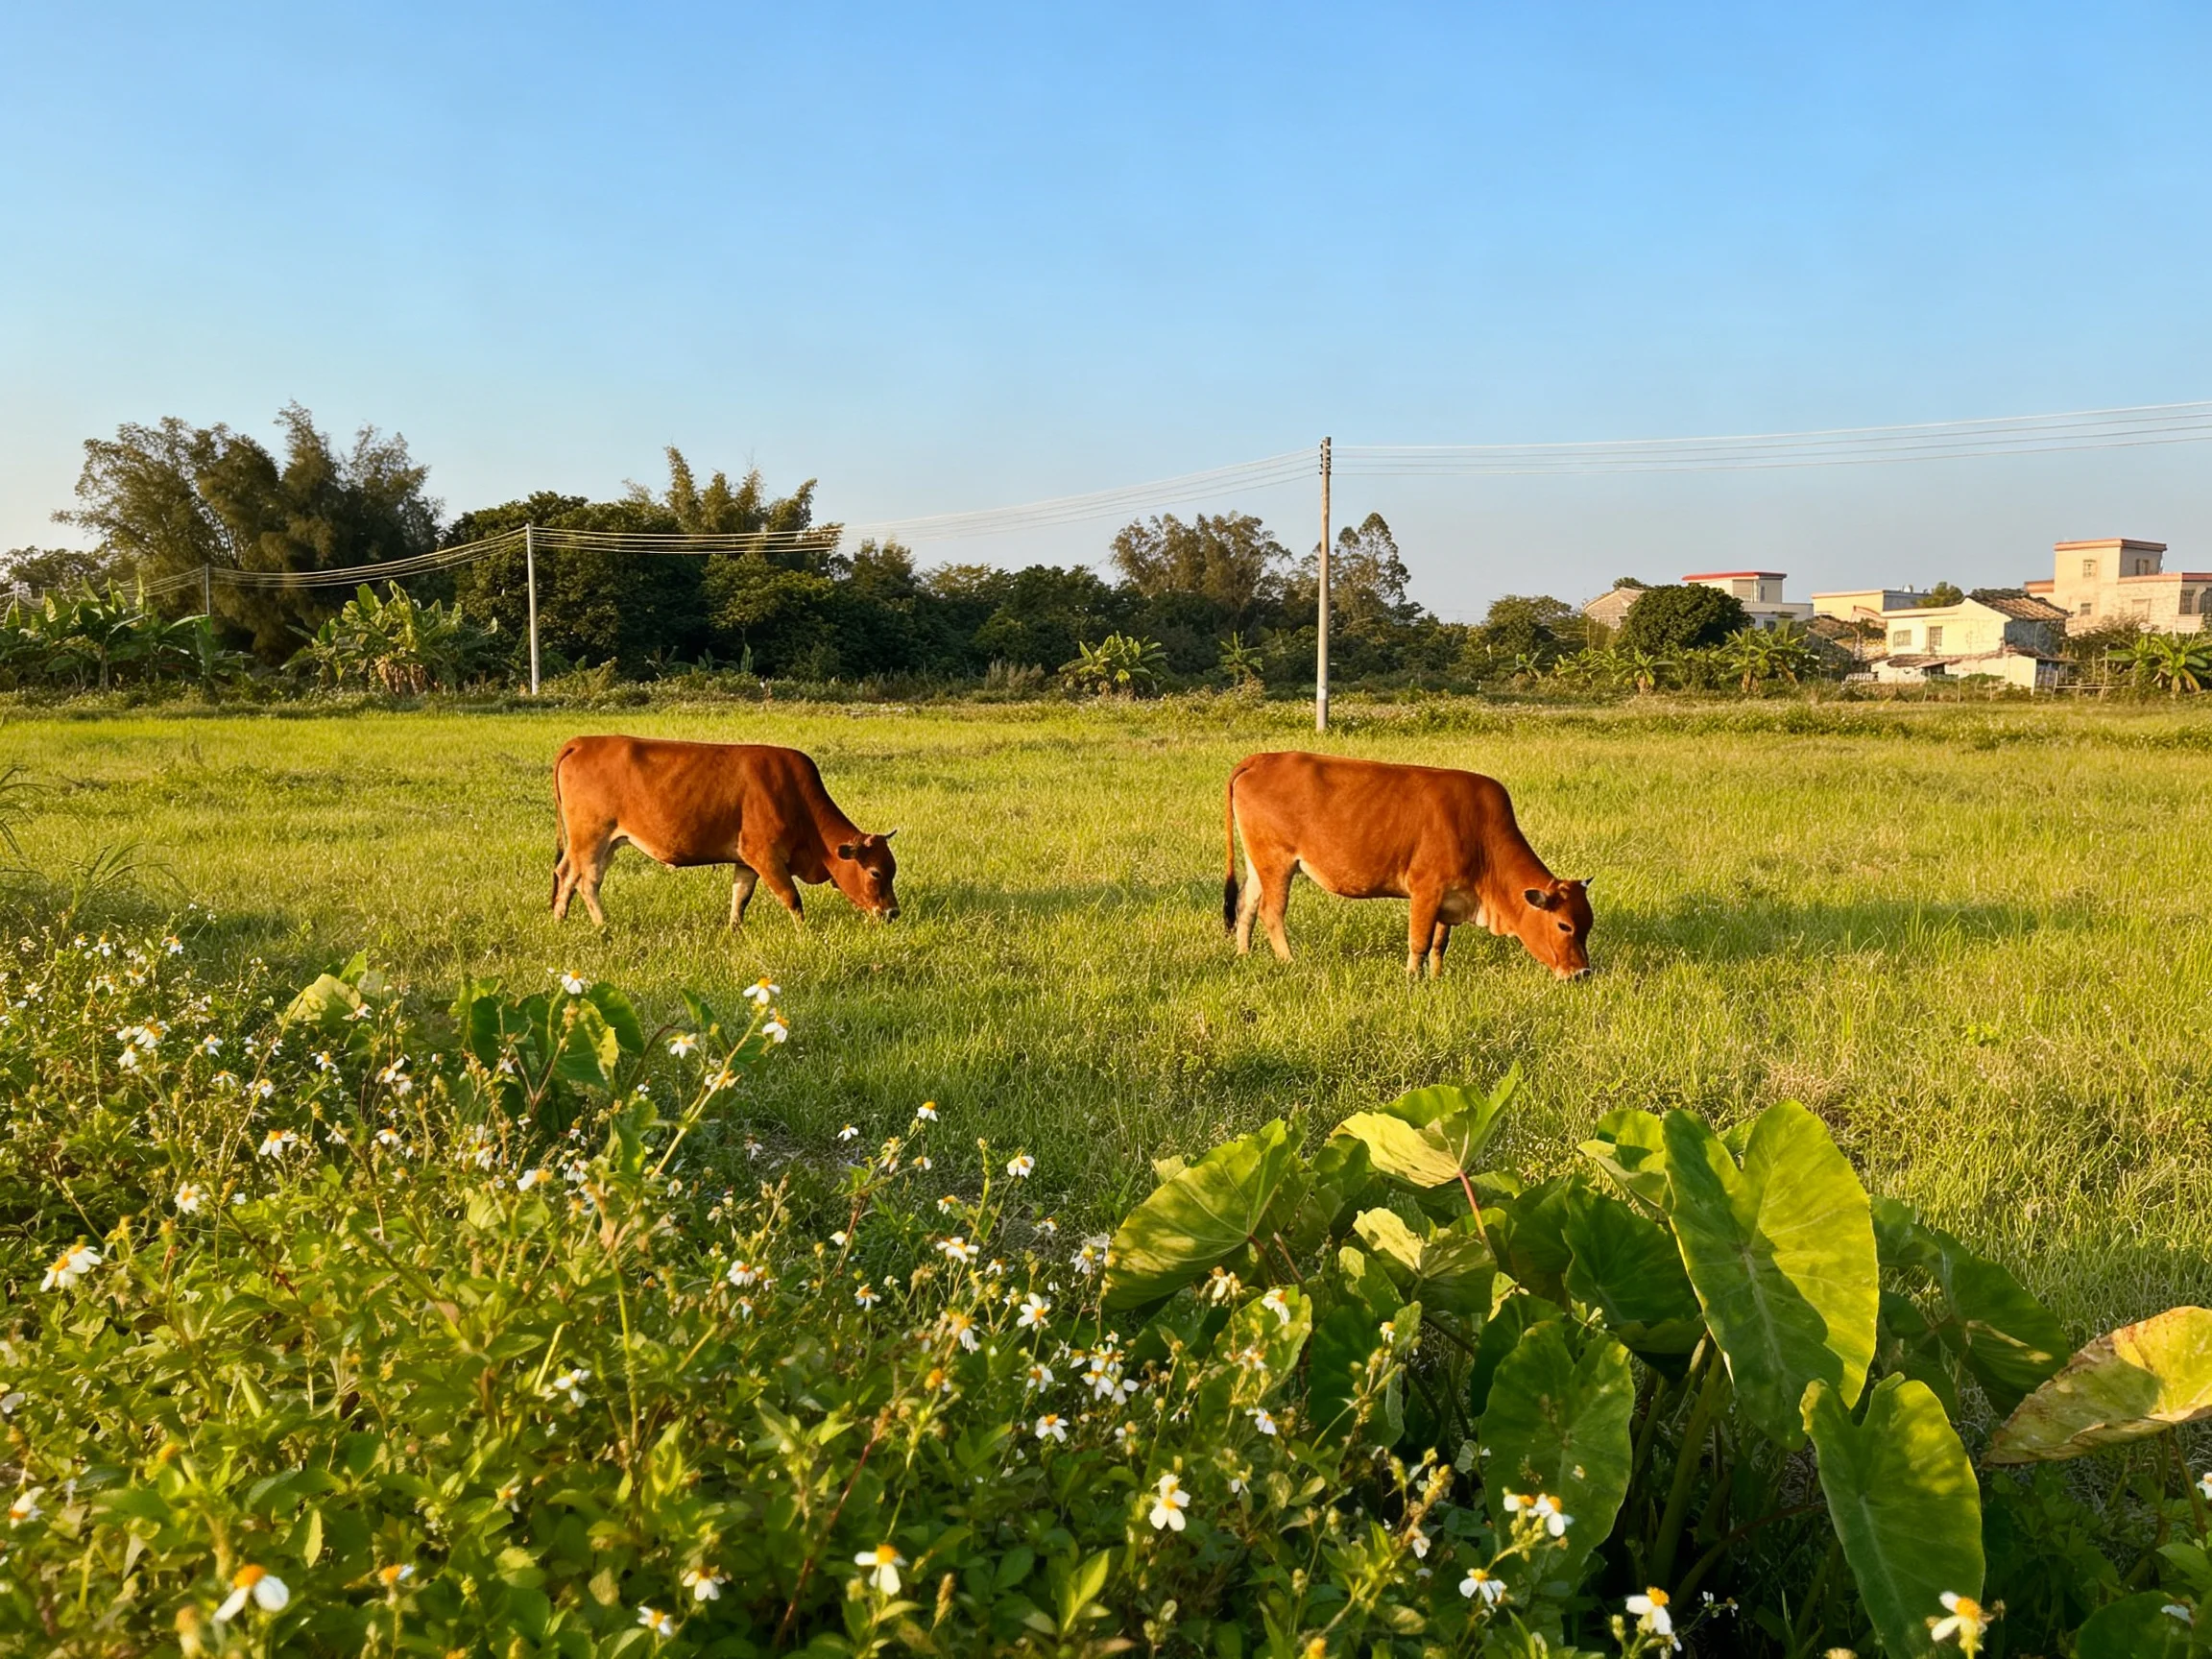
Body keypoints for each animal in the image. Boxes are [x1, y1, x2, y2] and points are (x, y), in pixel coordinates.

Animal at [550, 736, 900, 928]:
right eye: (875, 873)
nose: (893, 912)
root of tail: (580, 742)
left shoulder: (746, 861)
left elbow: (739, 898)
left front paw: (733, 930)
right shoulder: (765, 856)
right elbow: (792, 898)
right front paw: (805, 933)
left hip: (601, 843)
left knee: (567, 874)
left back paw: (560, 918)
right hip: (591, 837)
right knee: (586, 881)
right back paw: (603, 926)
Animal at [1222, 752, 1591, 979]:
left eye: (1588, 925)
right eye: (1564, 926)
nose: (1582, 973)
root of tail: (1261, 759)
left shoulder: (1450, 899)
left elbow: (1439, 944)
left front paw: (1438, 977)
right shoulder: (1426, 890)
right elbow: (1419, 941)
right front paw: (1412, 978)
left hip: (1258, 862)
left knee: (1246, 905)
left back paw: (1243, 954)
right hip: (1277, 861)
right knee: (1271, 911)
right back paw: (1289, 961)